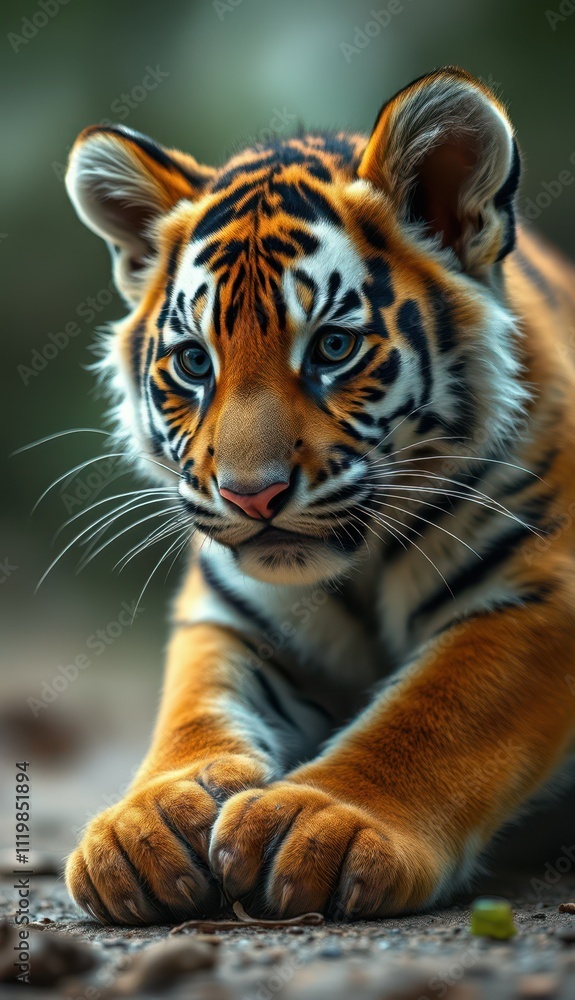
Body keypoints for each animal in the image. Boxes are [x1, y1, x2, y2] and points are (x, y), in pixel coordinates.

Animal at [63, 66, 575, 926]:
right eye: (194, 363)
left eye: (332, 348)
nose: (252, 496)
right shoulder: (230, 614)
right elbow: (195, 706)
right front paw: (148, 821)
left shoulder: (540, 595)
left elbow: (434, 714)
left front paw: (322, 823)